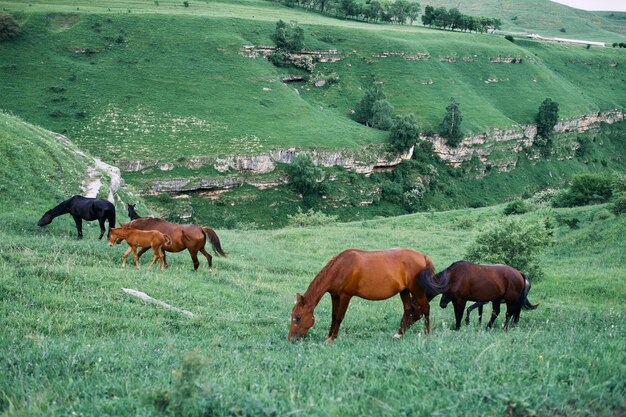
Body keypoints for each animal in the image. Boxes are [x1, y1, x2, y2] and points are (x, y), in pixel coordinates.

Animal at [288, 247, 434, 342]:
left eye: (298, 317)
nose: (291, 339)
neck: (340, 268)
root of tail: (423, 256)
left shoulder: (345, 296)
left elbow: (339, 317)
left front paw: (333, 338)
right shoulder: (335, 296)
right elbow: (333, 316)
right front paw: (328, 336)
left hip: (417, 290)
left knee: (425, 308)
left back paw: (427, 334)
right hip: (404, 290)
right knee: (408, 310)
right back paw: (399, 334)